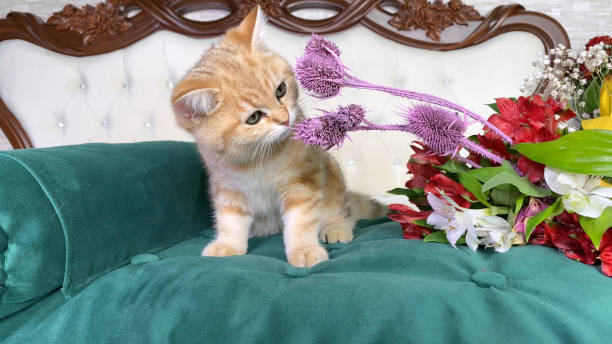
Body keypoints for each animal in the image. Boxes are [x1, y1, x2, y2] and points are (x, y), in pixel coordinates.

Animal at [170, 6, 384, 268]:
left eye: (280, 90)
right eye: (253, 118)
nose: (285, 119)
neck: (255, 158)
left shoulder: (303, 180)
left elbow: (301, 220)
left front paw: (304, 249)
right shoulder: (227, 187)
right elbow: (230, 219)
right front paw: (229, 244)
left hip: (332, 174)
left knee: (343, 210)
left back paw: (336, 226)